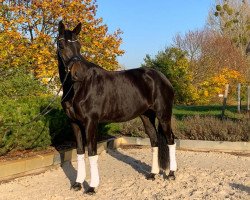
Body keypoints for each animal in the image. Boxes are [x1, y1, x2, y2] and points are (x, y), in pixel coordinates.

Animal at [57, 21, 177, 194]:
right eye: (61, 44)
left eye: (78, 45)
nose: (77, 74)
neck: (77, 87)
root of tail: (162, 78)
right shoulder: (74, 123)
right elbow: (80, 152)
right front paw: (77, 184)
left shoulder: (90, 122)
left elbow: (91, 152)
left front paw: (92, 187)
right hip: (146, 116)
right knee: (155, 141)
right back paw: (152, 174)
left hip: (164, 115)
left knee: (170, 140)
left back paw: (172, 174)